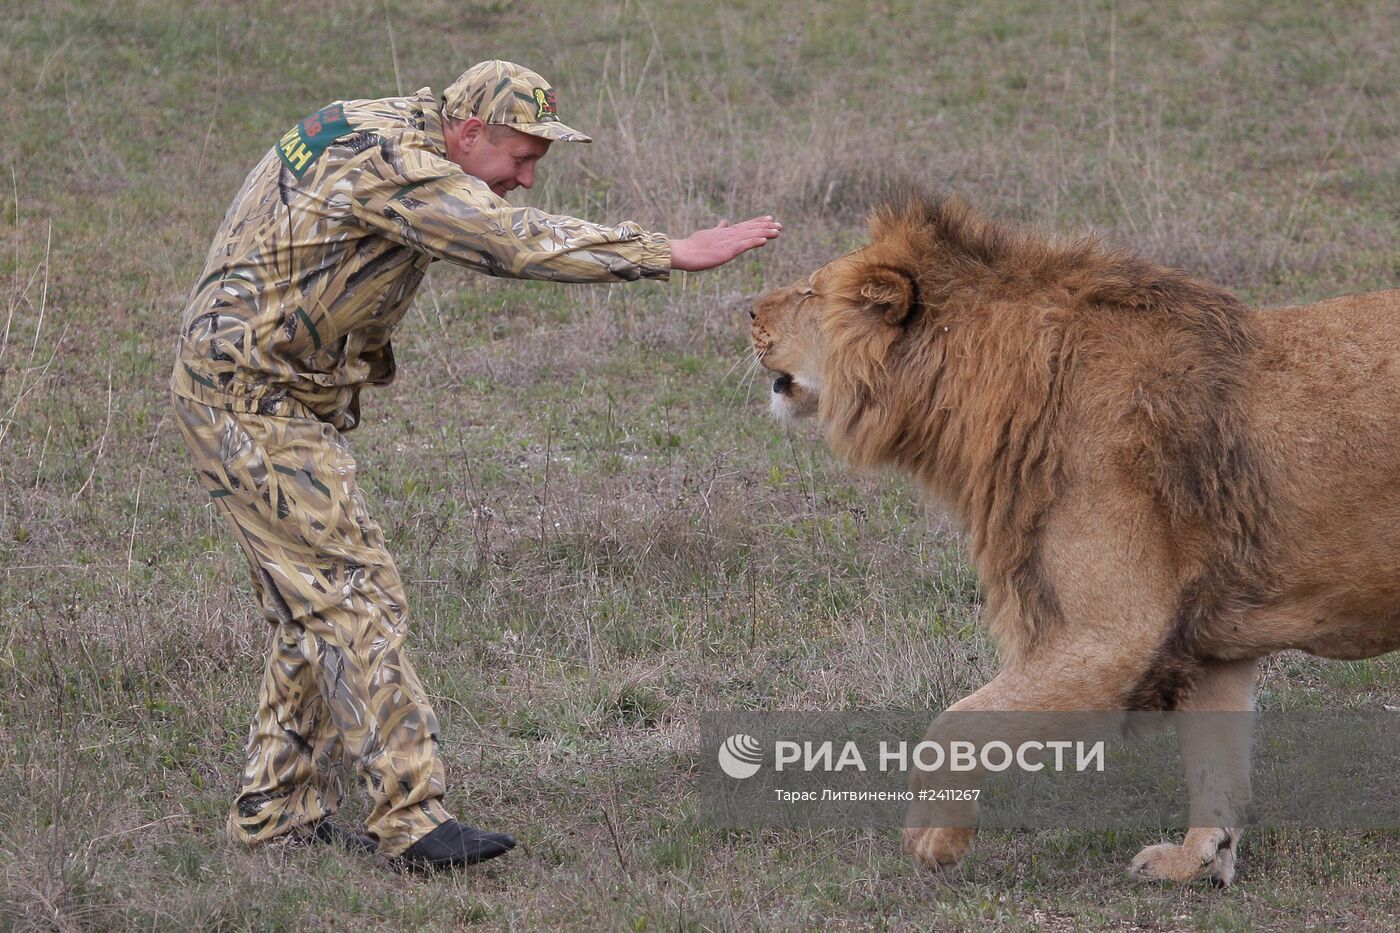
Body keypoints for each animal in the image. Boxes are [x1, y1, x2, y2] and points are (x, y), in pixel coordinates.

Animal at [756, 191, 1400, 885]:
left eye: (808, 290)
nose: (746, 313)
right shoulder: (1207, 644)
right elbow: (1215, 763)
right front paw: (1196, 861)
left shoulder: (1114, 636)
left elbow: (959, 722)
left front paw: (934, 838)